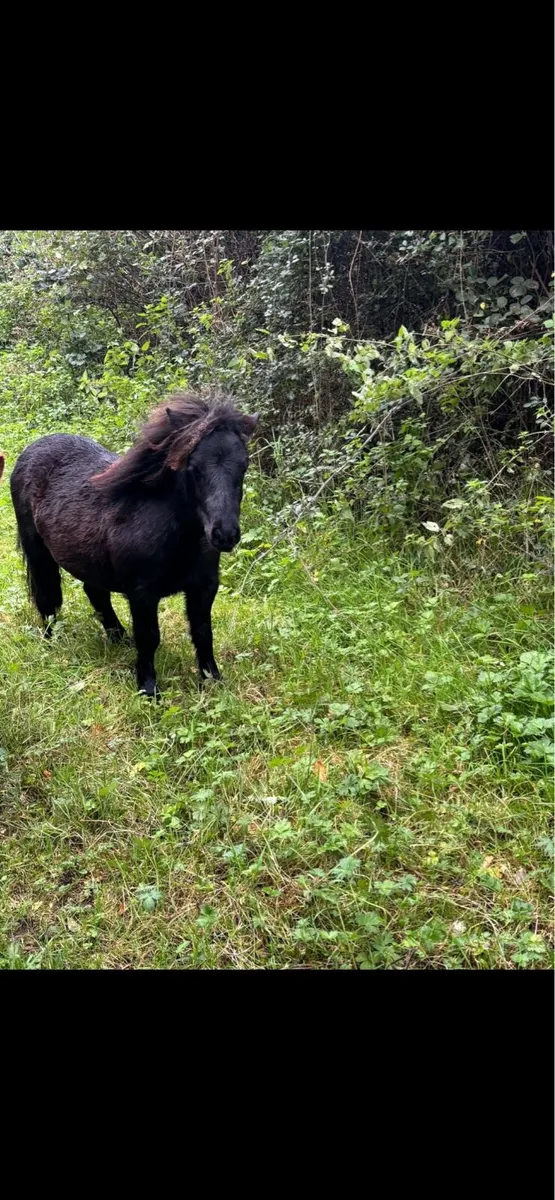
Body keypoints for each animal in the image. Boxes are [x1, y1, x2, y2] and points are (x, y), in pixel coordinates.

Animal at [10, 393, 258, 697]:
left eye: (243, 466)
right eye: (193, 467)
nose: (225, 534)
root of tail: (32, 449)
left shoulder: (204, 588)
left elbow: (203, 633)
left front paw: (213, 679)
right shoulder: (142, 595)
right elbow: (149, 637)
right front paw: (148, 688)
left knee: (95, 592)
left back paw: (118, 638)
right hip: (39, 553)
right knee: (47, 596)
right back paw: (51, 640)